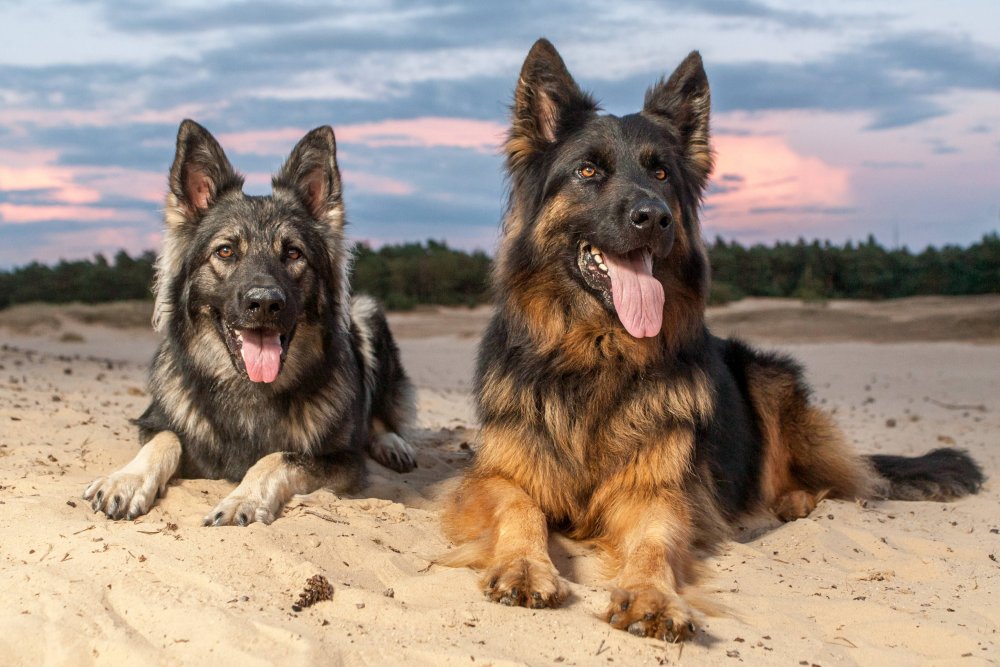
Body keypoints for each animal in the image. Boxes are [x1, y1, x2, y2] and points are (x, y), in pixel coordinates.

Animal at [82, 120, 418, 528]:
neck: (249, 391)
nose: (265, 303)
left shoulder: (343, 461)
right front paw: (126, 480)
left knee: (381, 412)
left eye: (293, 253)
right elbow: (166, 437)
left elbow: (278, 457)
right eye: (226, 251)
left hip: (367, 312)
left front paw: (243, 498)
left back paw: (391, 442)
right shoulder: (156, 423)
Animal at [446, 40, 984, 640]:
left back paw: (792, 501)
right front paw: (522, 565)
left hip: (768, 377)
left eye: (661, 173)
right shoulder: (498, 476)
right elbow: (519, 510)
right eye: (588, 170)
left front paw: (652, 596)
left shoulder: (658, 492)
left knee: (824, 478)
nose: (654, 217)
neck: (597, 352)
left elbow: (654, 543)